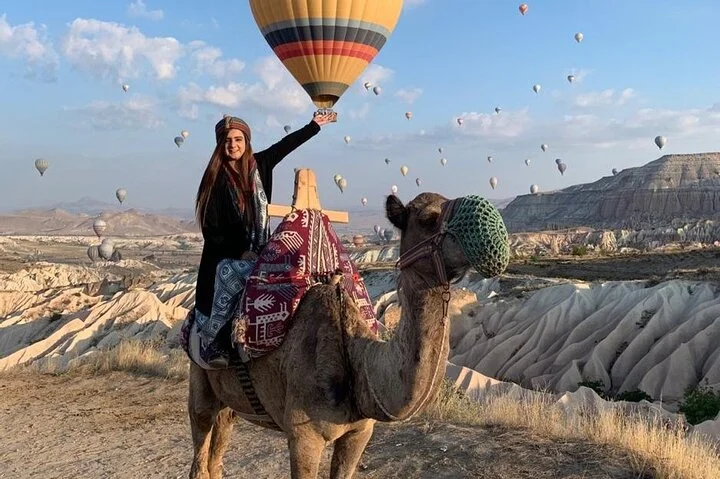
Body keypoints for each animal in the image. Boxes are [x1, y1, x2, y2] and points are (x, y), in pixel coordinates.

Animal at [188, 192, 506, 479]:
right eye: (428, 218)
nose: (492, 230)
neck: (357, 357)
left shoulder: (359, 433)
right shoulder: (303, 437)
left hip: (232, 401)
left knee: (220, 439)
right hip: (200, 380)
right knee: (200, 443)